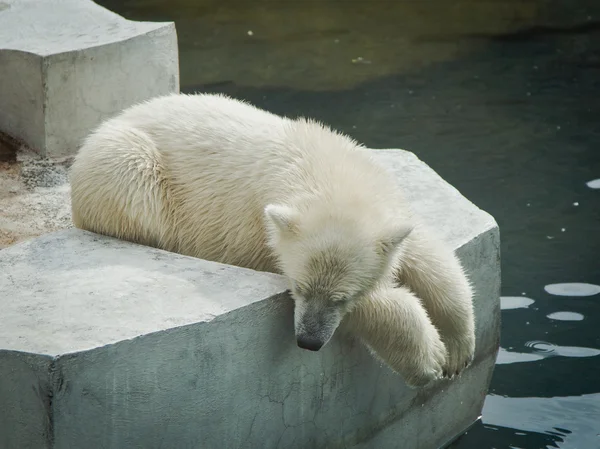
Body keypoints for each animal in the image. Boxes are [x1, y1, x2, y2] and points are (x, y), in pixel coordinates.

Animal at [69, 93, 474, 386]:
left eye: (339, 297)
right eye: (298, 287)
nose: (308, 342)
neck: (322, 165)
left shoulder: (387, 209)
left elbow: (427, 256)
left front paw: (458, 350)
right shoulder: (259, 234)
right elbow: (378, 303)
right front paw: (430, 359)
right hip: (127, 165)